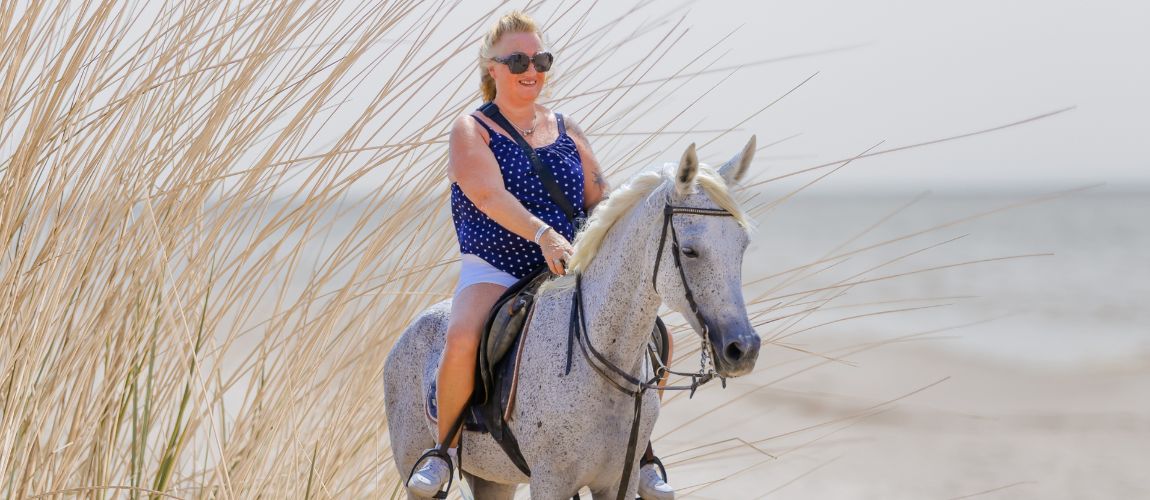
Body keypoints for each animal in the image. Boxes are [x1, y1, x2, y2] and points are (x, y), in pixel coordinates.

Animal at [384, 137, 762, 499]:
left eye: (743, 245)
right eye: (689, 251)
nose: (743, 349)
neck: (599, 362)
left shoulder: (618, 481)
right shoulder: (551, 482)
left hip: (494, 478)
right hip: (413, 462)